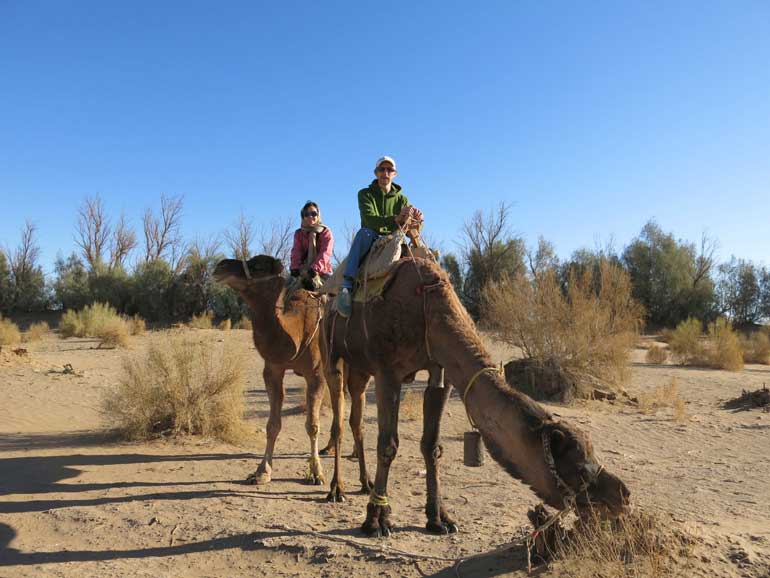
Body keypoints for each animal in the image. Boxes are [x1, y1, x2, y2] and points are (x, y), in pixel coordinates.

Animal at [320, 256, 628, 536]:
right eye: (579, 469)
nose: (622, 495)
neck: (430, 312)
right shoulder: (388, 372)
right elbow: (388, 445)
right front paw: (376, 520)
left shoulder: (441, 372)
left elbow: (432, 446)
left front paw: (439, 519)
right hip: (331, 352)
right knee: (338, 418)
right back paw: (336, 489)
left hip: (360, 369)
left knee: (356, 420)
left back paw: (365, 483)